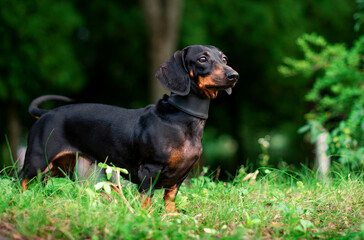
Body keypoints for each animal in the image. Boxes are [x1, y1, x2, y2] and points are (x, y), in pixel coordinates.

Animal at [18, 45, 239, 212]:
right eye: (202, 59)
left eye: (224, 58)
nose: (234, 75)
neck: (181, 118)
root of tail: (45, 113)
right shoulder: (149, 170)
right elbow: (147, 199)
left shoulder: (181, 176)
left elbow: (170, 200)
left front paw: (171, 217)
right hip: (38, 158)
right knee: (20, 178)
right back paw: (21, 200)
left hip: (60, 166)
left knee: (41, 179)